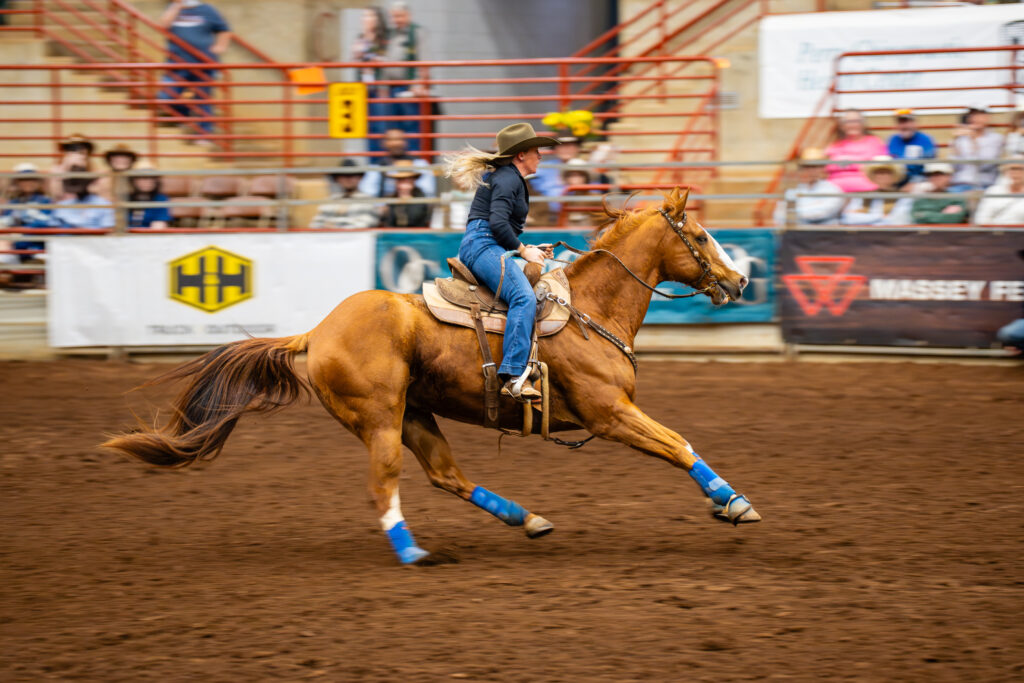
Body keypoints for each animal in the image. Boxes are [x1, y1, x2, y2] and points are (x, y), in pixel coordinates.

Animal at [104, 187, 761, 565]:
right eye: (699, 234)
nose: (741, 281)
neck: (589, 309)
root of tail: (316, 332)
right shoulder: (610, 414)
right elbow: (678, 444)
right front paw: (735, 503)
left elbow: (676, 444)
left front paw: (729, 504)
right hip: (378, 418)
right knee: (385, 484)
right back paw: (414, 552)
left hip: (414, 413)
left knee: (447, 476)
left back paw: (528, 519)